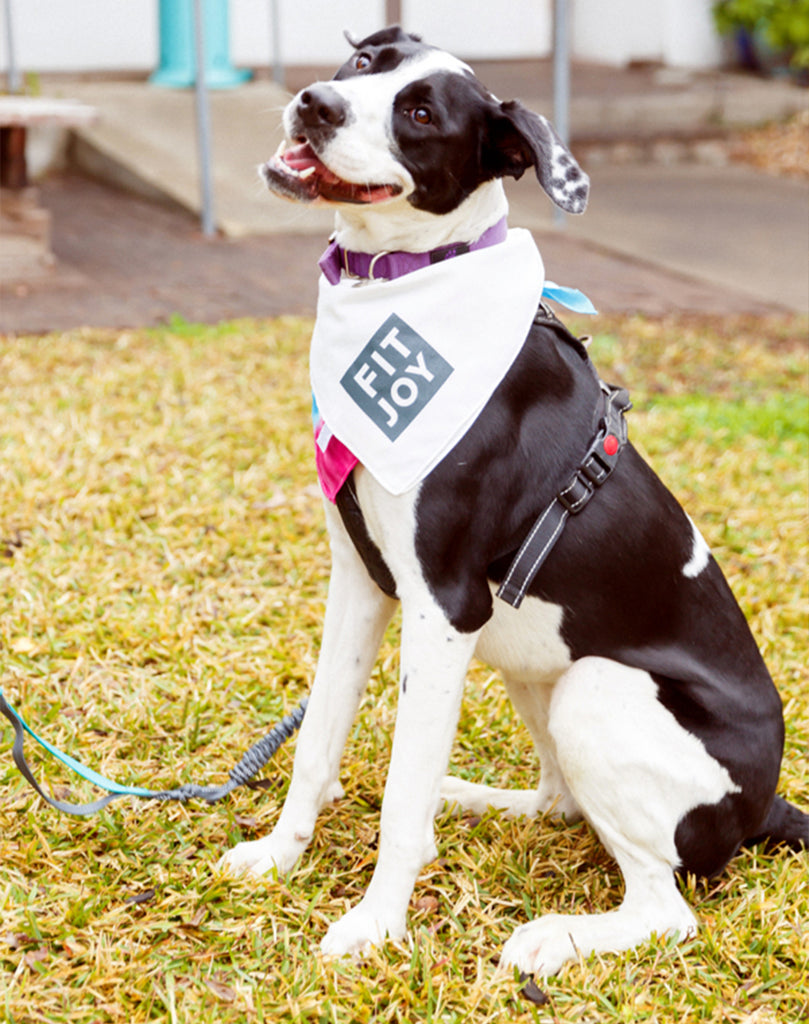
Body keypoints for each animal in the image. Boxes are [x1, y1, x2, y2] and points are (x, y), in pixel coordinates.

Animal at [218, 28, 806, 974]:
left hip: (593, 689)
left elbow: (399, 792)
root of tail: (765, 805)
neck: (410, 275)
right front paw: (279, 855)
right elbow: (316, 741)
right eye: (364, 64)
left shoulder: (442, 608)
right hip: (531, 663)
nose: (316, 104)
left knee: (665, 907)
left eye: (422, 114)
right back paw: (470, 799)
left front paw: (374, 926)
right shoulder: (359, 579)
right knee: (560, 801)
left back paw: (552, 937)